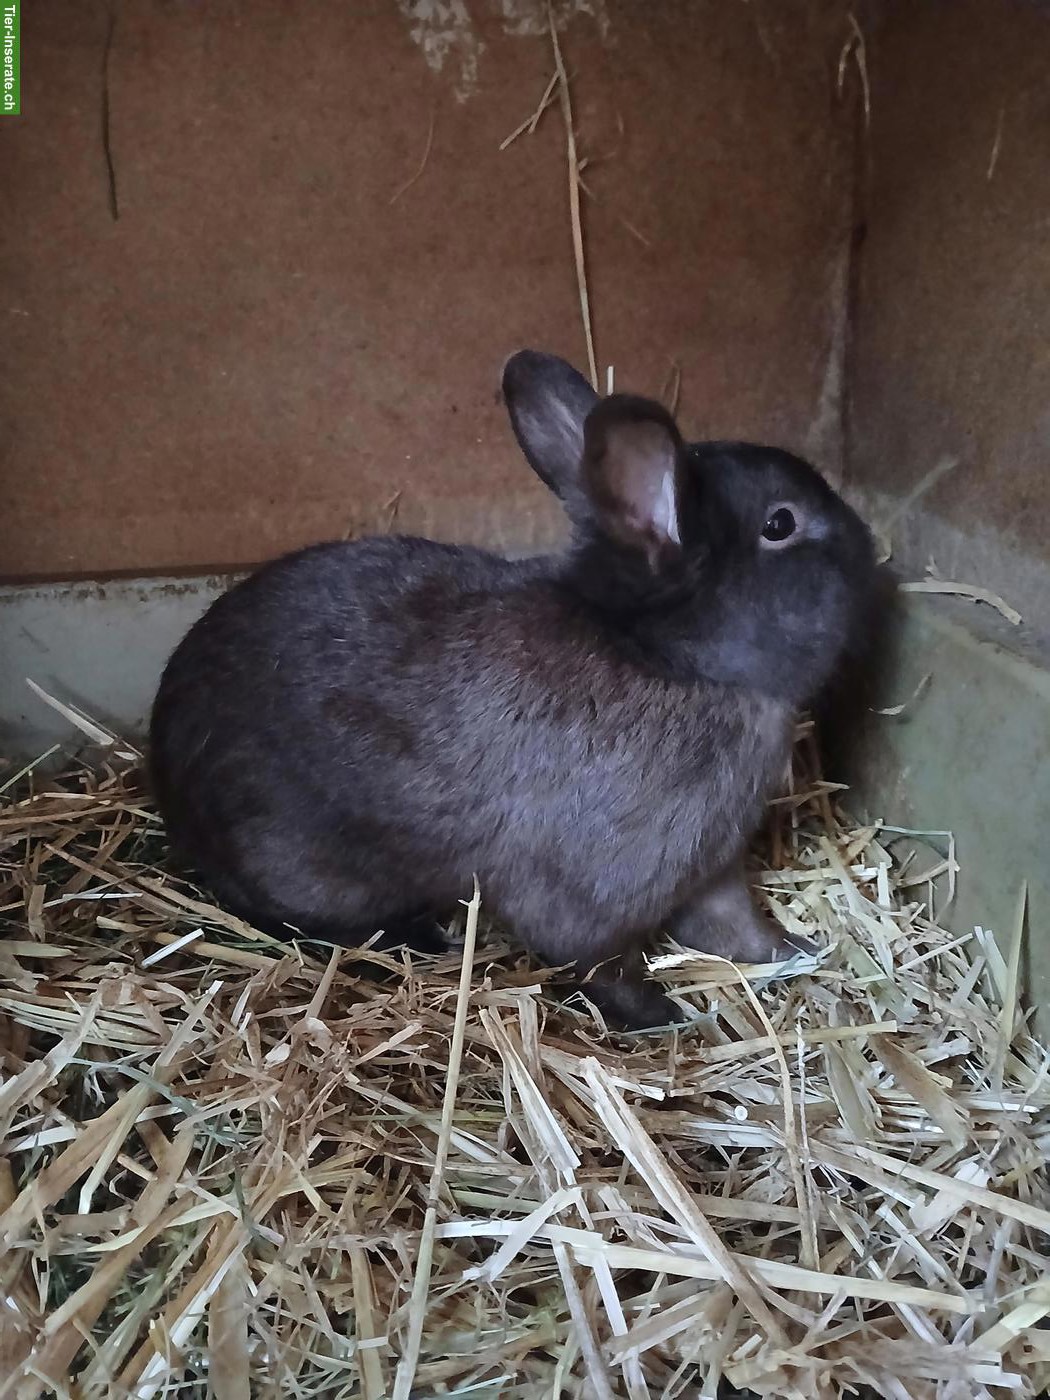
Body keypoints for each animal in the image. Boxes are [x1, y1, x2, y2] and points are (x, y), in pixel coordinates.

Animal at [149, 350, 876, 1030]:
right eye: (780, 525)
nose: (868, 544)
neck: (672, 663)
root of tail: (166, 782)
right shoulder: (592, 898)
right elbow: (603, 963)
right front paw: (662, 1018)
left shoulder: (711, 869)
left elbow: (734, 926)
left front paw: (794, 952)